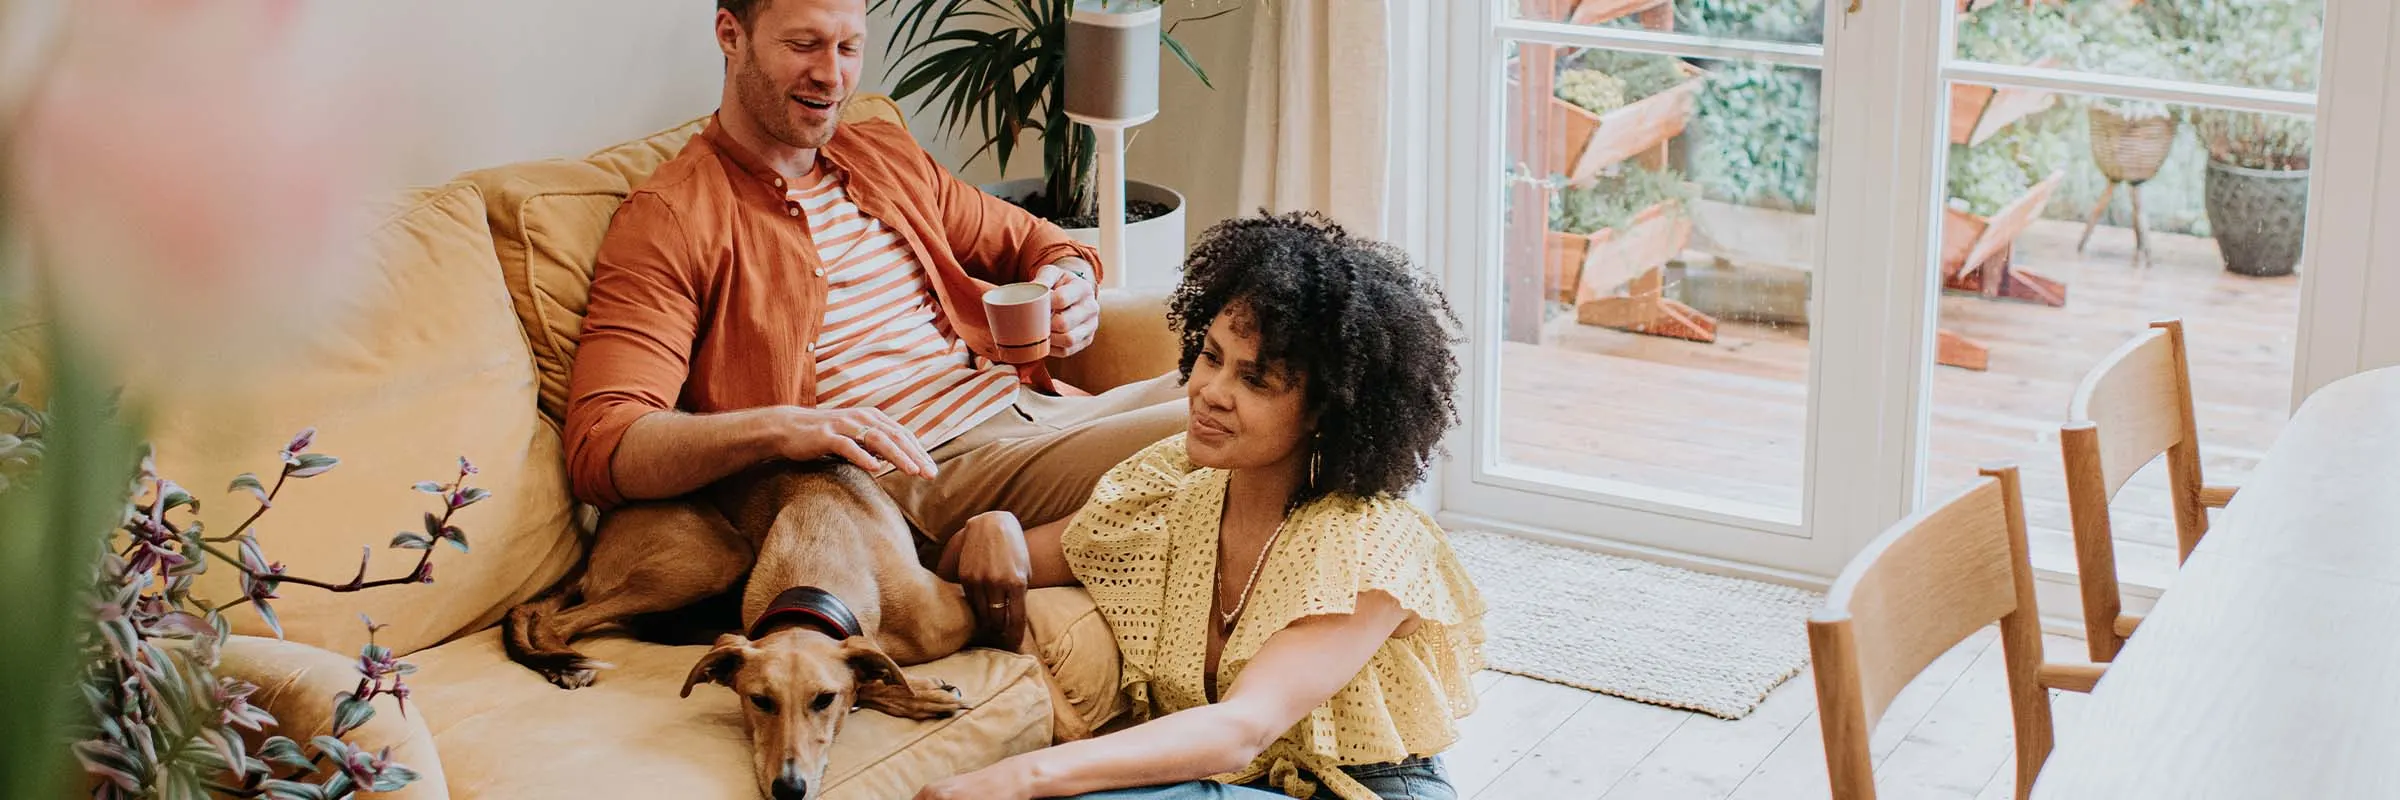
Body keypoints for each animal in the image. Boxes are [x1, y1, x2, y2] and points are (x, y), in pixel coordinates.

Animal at [511, 458, 1094, 797]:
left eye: (823, 699)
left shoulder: (979, 601)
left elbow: (1043, 683)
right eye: (758, 701)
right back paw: (565, 663)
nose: (787, 789)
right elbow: (879, 673)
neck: (815, 573)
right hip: (706, 561)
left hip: (712, 561)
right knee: (556, 617)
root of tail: (597, 537)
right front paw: (923, 692)